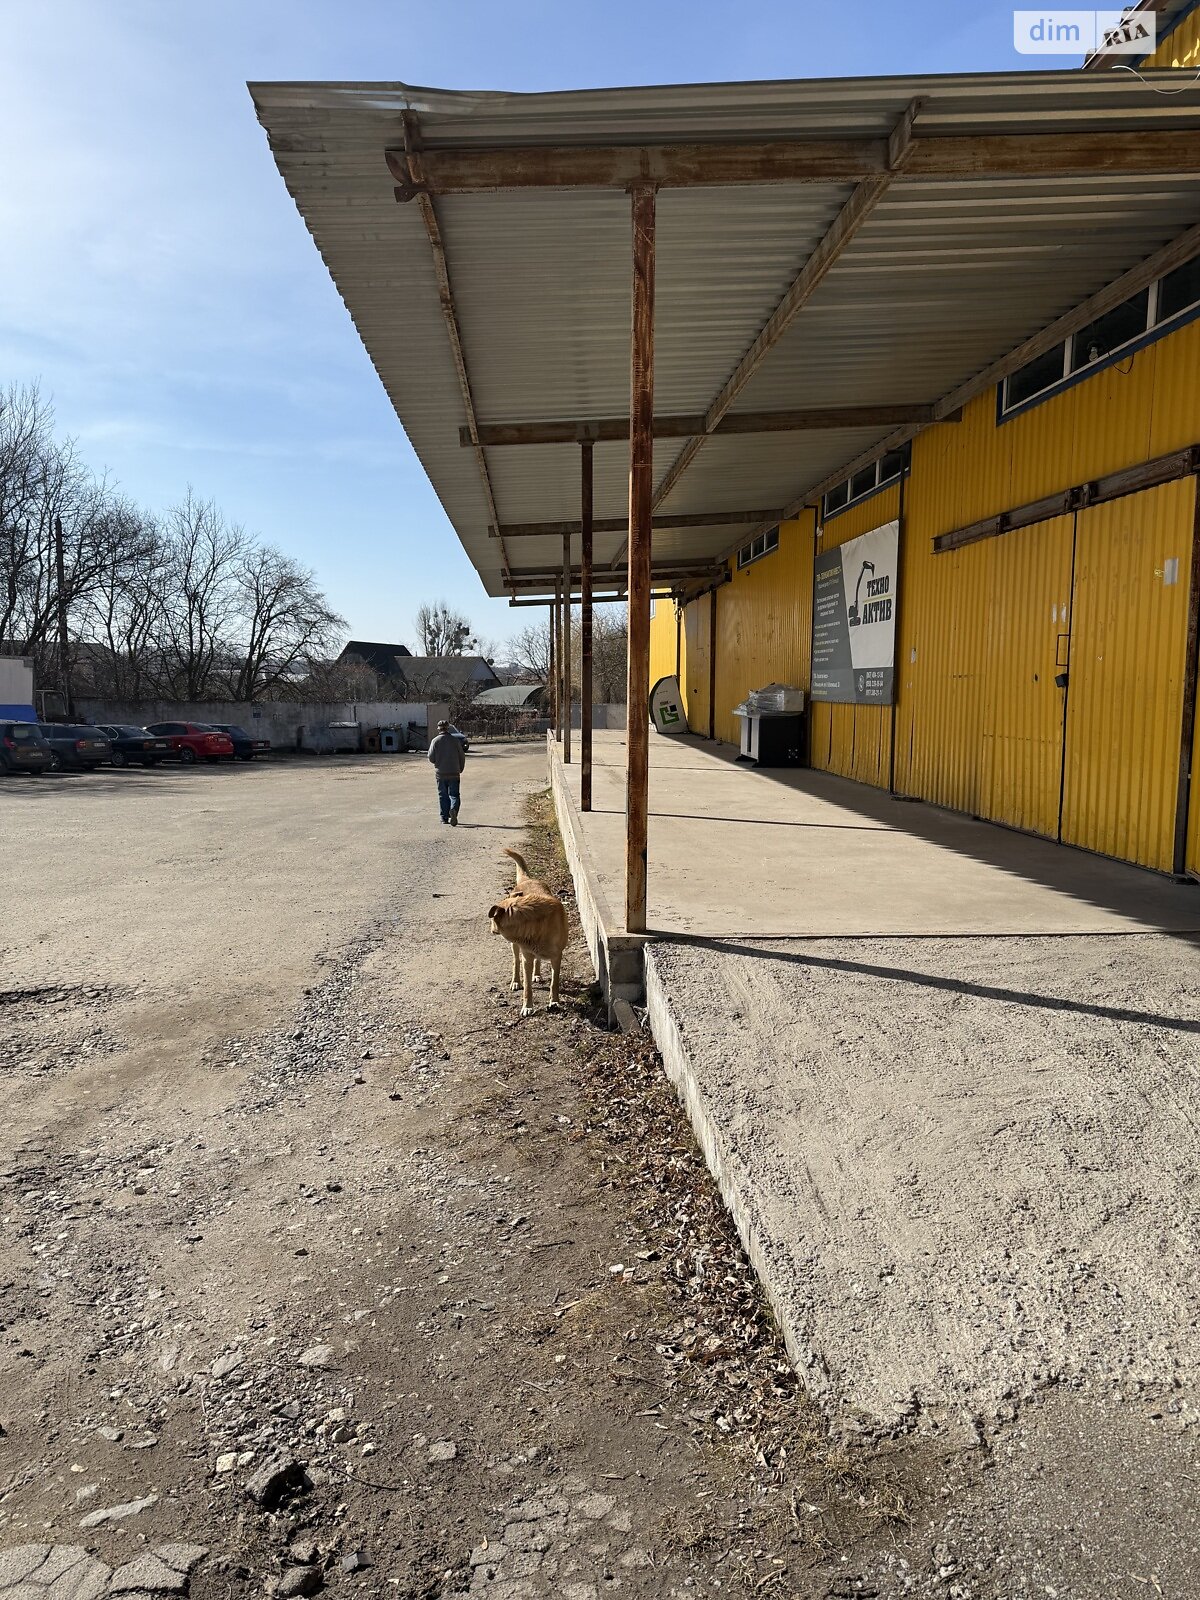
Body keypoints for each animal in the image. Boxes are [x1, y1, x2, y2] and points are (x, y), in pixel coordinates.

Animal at [489, 851, 569, 1011]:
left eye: (492, 919)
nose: (490, 928)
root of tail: (528, 879)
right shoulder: (526, 958)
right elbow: (527, 987)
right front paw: (527, 1007)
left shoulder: (557, 957)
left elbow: (554, 982)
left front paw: (554, 1001)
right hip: (515, 948)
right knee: (516, 961)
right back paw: (516, 981)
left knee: (537, 960)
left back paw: (537, 974)